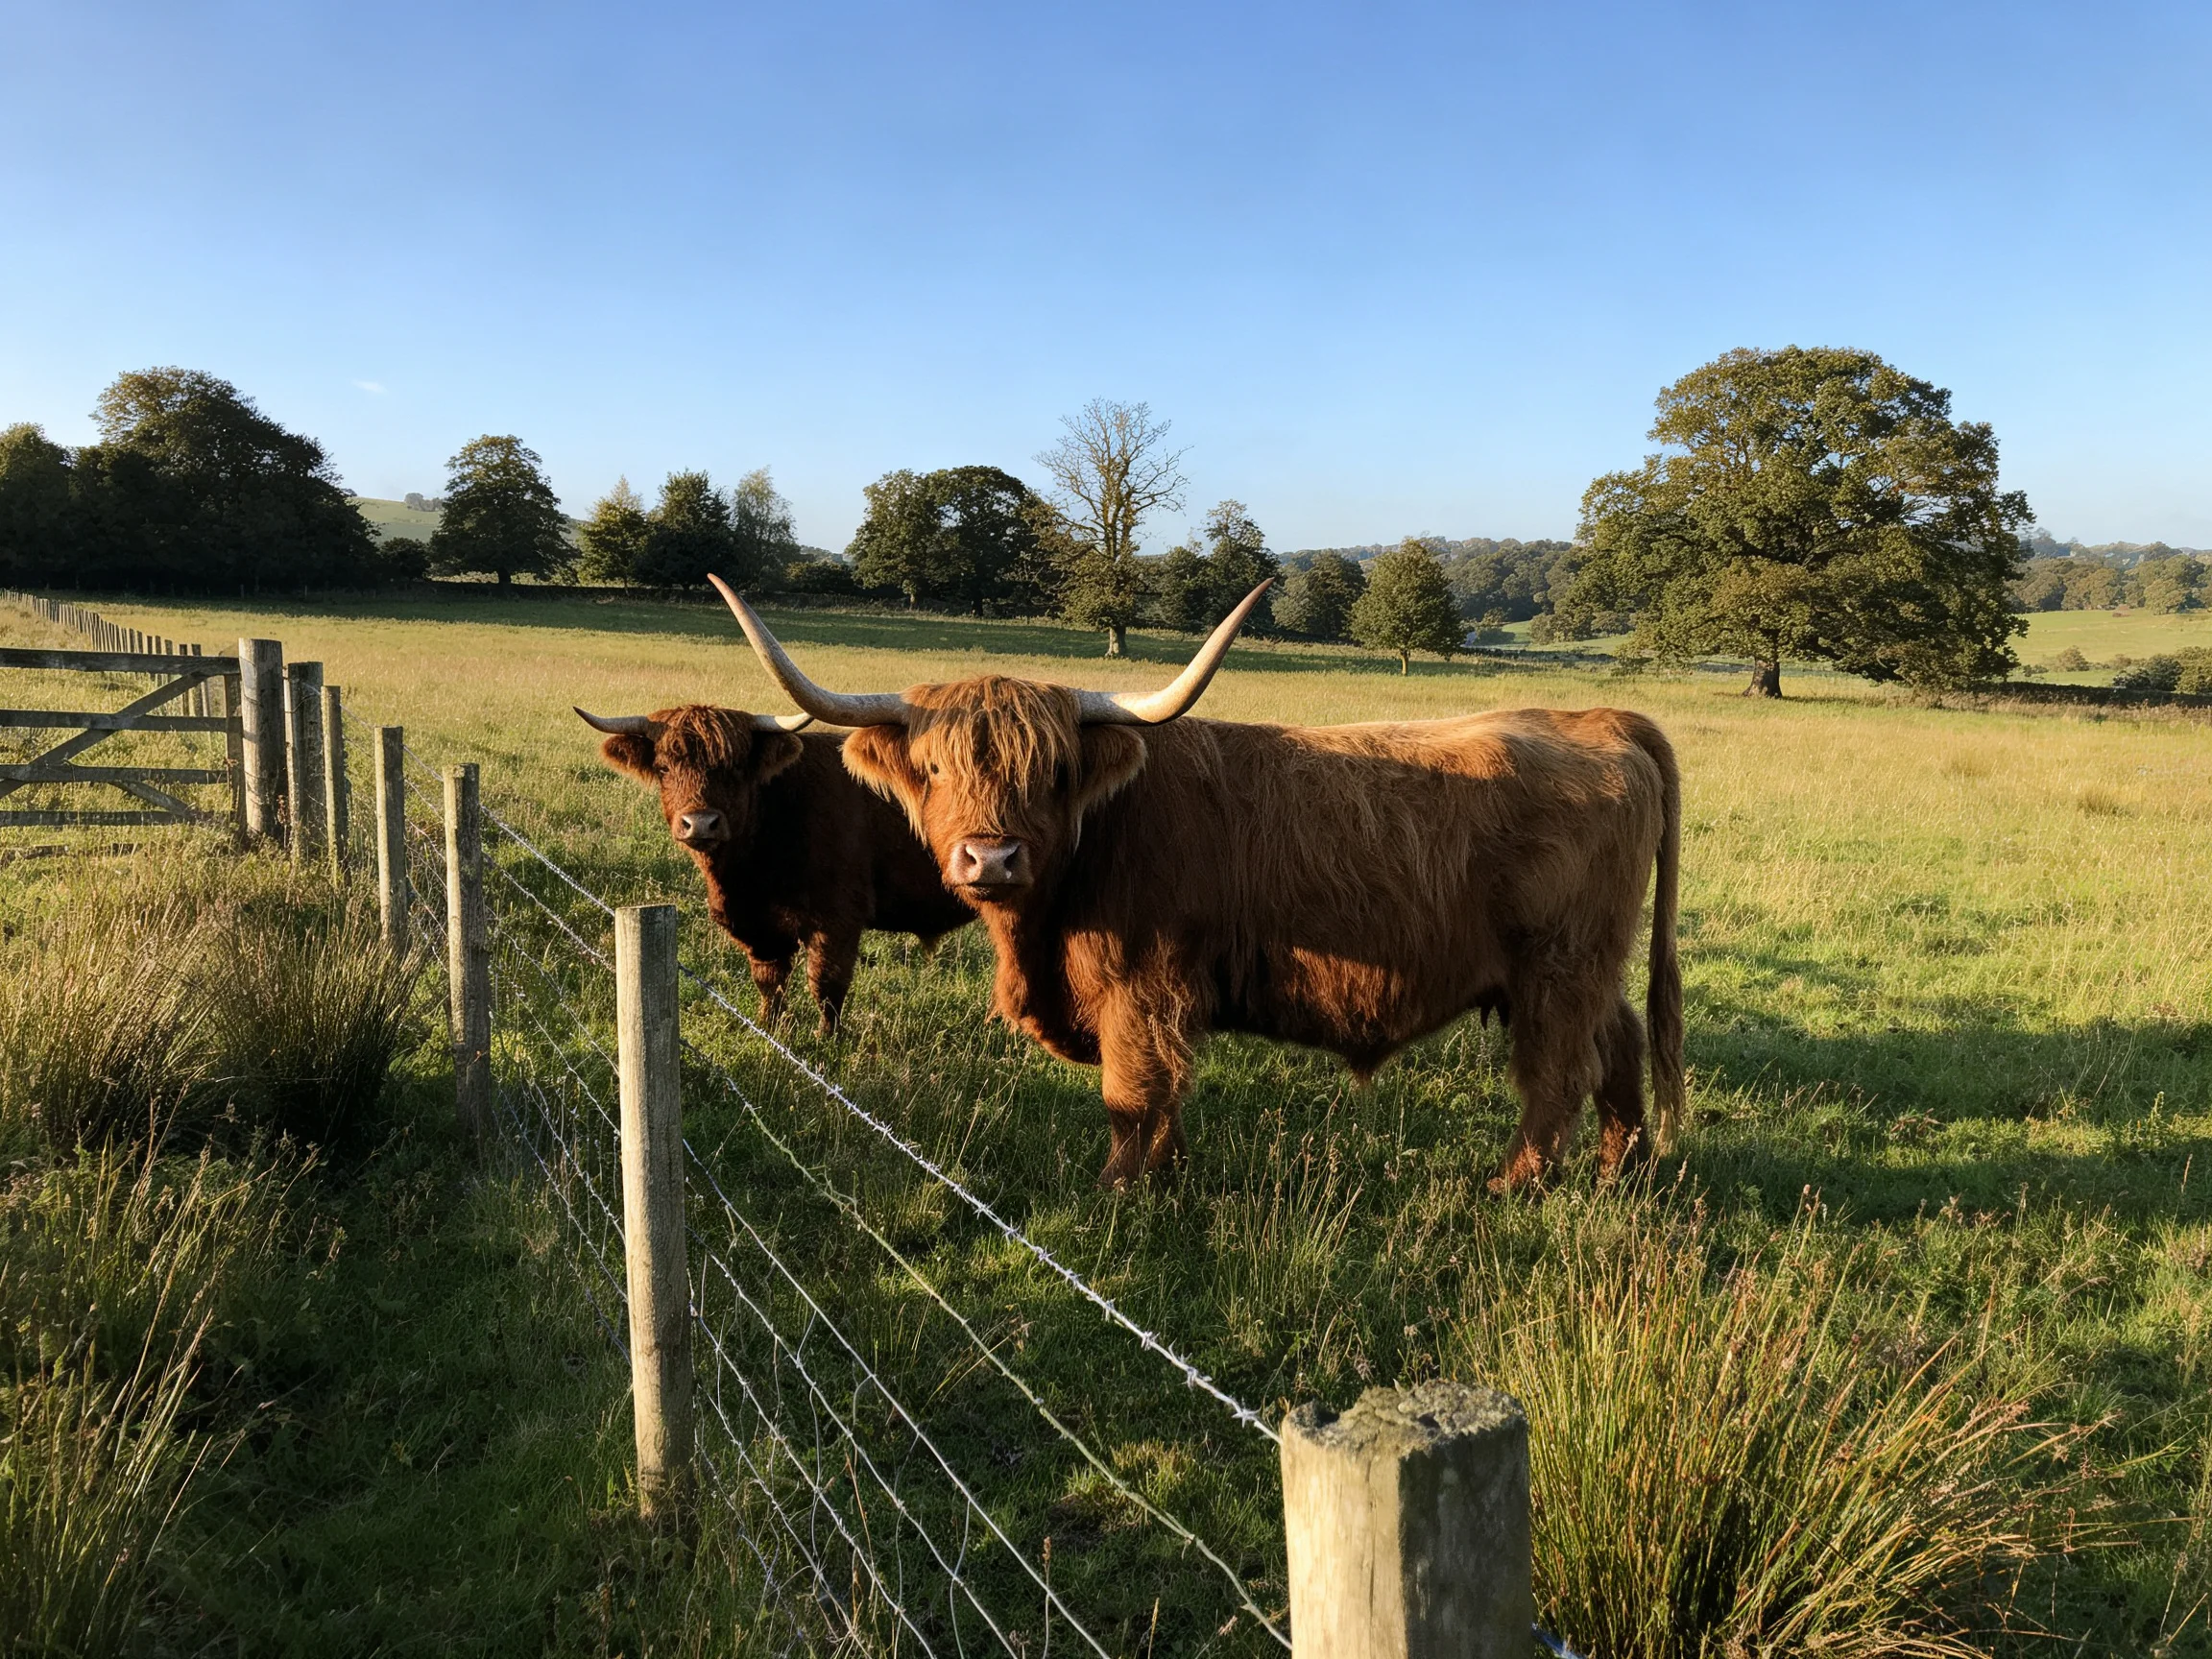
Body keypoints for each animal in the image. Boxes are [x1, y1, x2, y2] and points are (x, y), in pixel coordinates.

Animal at [576, 703, 973, 1034]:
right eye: (663, 768)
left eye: (736, 768)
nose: (700, 823)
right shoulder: (757, 925)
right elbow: (769, 980)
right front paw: (769, 1026)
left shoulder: (838, 918)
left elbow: (826, 982)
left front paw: (828, 1039)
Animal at [706, 574, 1682, 1192]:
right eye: (938, 767)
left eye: (1053, 771)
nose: (991, 859)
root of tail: (1599, 719)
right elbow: (1159, 1097)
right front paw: (1165, 1177)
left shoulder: (1145, 985)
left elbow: (1132, 1093)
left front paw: (1119, 1192)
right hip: (1583, 966)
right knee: (1621, 1045)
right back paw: (1623, 1169)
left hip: (1557, 966)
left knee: (1558, 1072)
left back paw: (1513, 1187)